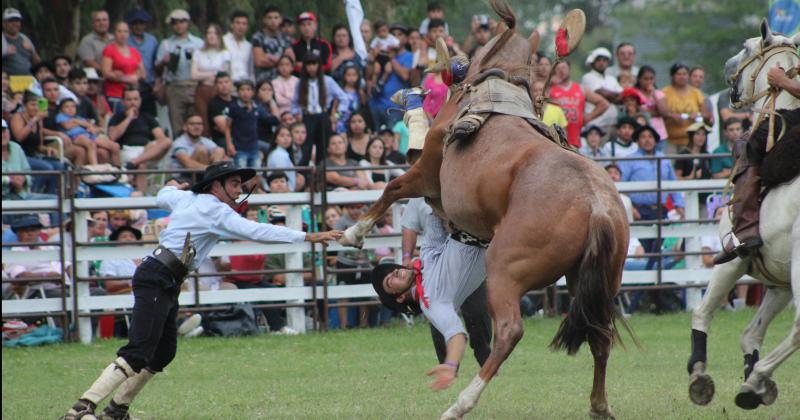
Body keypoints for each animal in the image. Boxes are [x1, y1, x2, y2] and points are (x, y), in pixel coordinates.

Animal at [340, 2, 636, 416]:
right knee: (600, 334)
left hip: (506, 269)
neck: (496, 85)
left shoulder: (427, 171)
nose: (453, 66)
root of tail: (596, 207)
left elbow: (393, 188)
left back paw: (461, 403)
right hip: (596, 278)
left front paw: (354, 231)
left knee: (510, 331)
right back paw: (598, 405)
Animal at [684, 19, 796, 410]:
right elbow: (751, 333)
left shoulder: (731, 261)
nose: (726, 68)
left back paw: (754, 381)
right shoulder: (779, 282)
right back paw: (755, 381)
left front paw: (699, 375)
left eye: (747, 48)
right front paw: (755, 379)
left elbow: (702, 311)